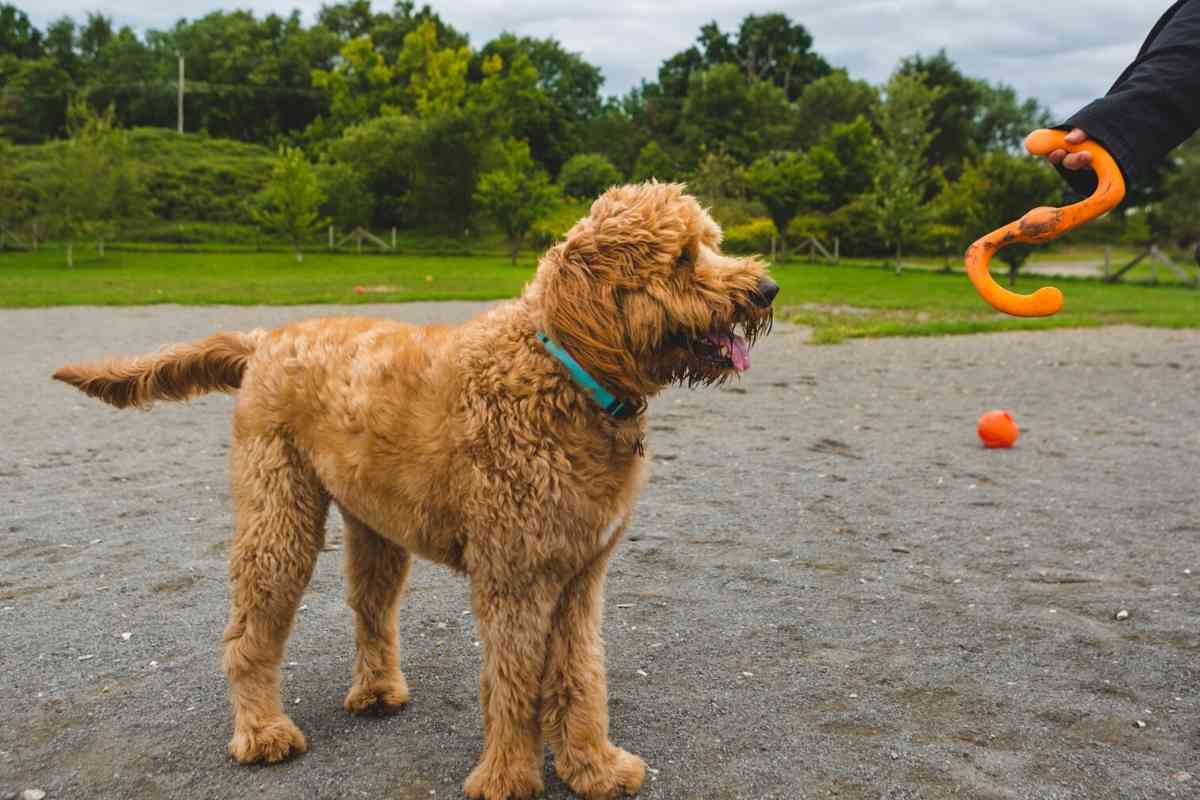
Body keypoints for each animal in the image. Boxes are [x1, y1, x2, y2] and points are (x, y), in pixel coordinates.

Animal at [54, 183, 777, 800]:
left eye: (711, 241)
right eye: (682, 258)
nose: (767, 289)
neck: (561, 370)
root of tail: (265, 338)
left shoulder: (579, 577)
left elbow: (580, 676)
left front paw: (593, 768)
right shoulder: (514, 575)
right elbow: (513, 680)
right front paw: (508, 778)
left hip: (376, 525)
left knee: (370, 607)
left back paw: (376, 691)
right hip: (279, 519)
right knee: (249, 631)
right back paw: (261, 733)